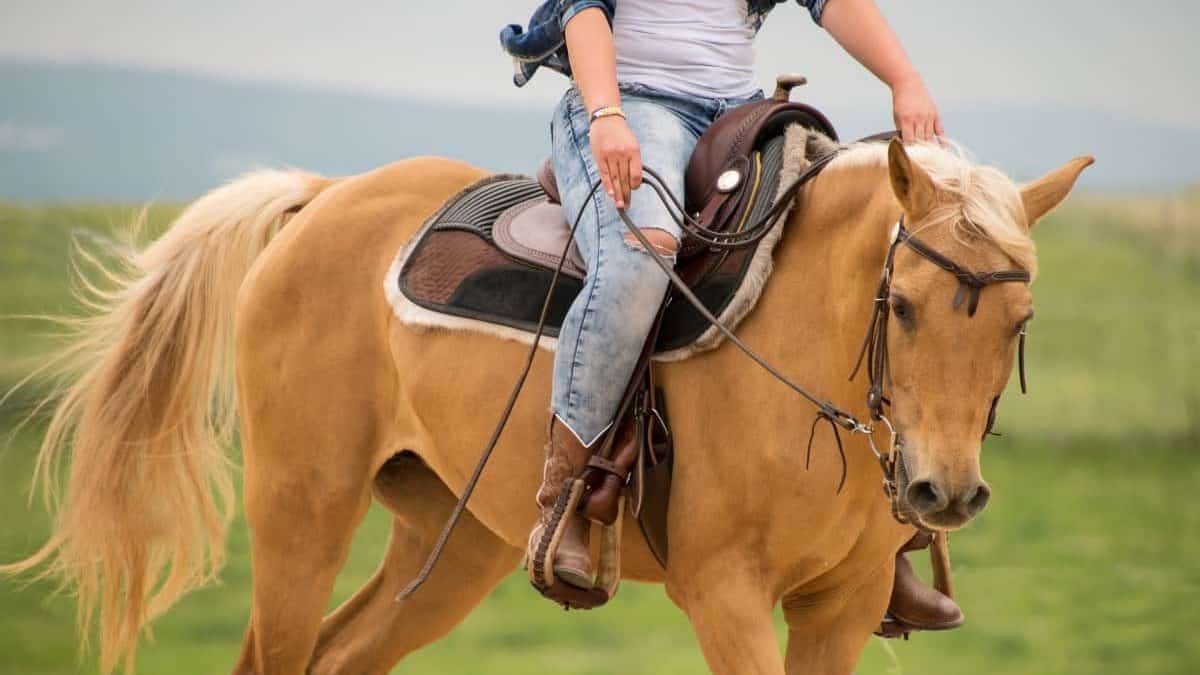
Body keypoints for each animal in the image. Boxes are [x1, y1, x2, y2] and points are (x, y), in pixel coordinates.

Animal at [0, 133, 1089, 667]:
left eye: (1021, 321)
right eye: (901, 306)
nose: (944, 493)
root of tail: (325, 195)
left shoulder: (843, 603)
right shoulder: (726, 593)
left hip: (453, 541)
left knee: (341, 655)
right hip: (301, 510)